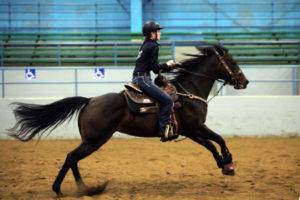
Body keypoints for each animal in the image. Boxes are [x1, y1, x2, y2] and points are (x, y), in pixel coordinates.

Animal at [8, 45, 248, 195]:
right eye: (232, 61)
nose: (245, 81)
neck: (188, 91)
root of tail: (89, 100)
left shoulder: (190, 130)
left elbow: (210, 144)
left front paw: (222, 164)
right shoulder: (196, 126)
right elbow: (220, 139)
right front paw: (228, 163)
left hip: (91, 141)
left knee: (73, 159)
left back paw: (85, 189)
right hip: (95, 140)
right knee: (71, 157)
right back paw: (61, 189)